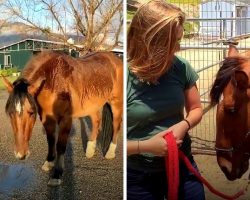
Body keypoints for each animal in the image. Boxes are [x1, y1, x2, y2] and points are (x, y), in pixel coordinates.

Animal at [1, 51, 123, 186]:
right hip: (92, 104)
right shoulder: (46, 119)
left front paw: (57, 174)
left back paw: (110, 152)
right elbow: (51, 141)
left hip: (116, 103)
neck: (53, 79)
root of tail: (115, 59)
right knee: (96, 121)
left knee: (116, 125)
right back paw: (90, 150)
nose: (20, 155)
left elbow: (60, 145)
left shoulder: (66, 119)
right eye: (10, 113)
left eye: (31, 112)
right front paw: (49, 162)